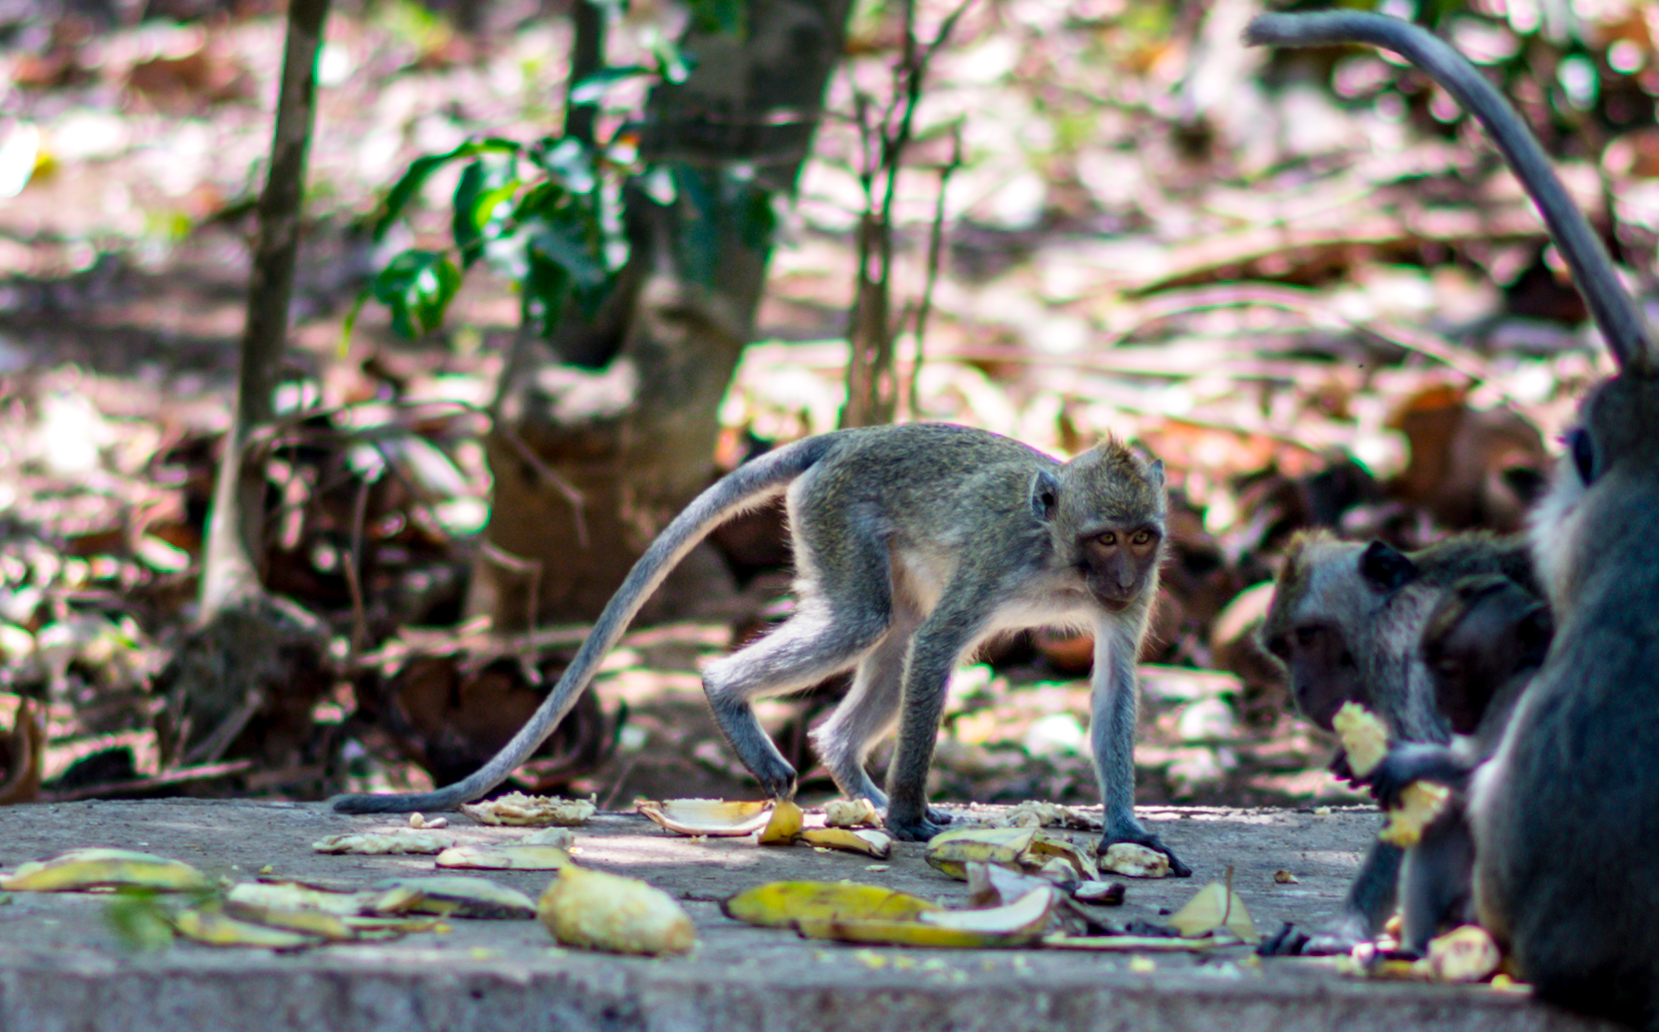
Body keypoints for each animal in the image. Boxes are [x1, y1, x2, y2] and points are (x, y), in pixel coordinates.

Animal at [330, 428, 1187, 876]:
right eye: (1102, 538)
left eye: (1139, 538)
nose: (1118, 578)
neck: (1059, 555)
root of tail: (849, 436)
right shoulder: (999, 555)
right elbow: (940, 643)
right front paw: (907, 816)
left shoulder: (1138, 594)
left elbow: (1114, 688)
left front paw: (1123, 825)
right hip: (834, 513)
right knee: (871, 624)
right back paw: (728, 695)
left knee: (890, 632)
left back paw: (846, 768)